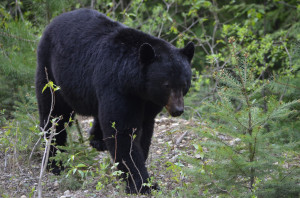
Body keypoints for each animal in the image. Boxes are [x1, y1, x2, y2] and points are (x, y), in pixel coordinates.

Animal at [35, 8, 195, 194]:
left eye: (184, 84)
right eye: (166, 85)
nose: (178, 110)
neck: (135, 84)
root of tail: (54, 21)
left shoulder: (147, 101)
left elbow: (143, 129)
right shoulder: (117, 87)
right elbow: (122, 131)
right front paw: (141, 184)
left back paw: (97, 140)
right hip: (51, 72)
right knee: (54, 113)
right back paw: (54, 161)